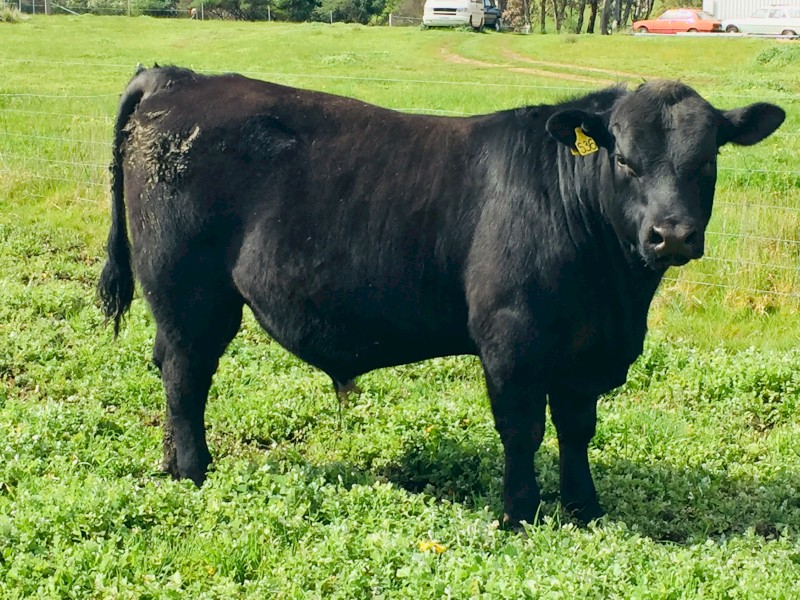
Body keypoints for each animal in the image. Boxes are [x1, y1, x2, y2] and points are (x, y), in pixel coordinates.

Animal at [99, 65, 784, 527]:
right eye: (625, 159)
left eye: (707, 159)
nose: (672, 234)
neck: (616, 292)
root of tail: (177, 79)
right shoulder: (512, 337)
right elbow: (522, 428)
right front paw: (519, 513)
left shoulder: (583, 351)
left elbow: (576, 428)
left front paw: (584, 507)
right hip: (187, 290)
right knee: (186, 372)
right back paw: (194, 470)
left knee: (174, 371)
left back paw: (172, 462)